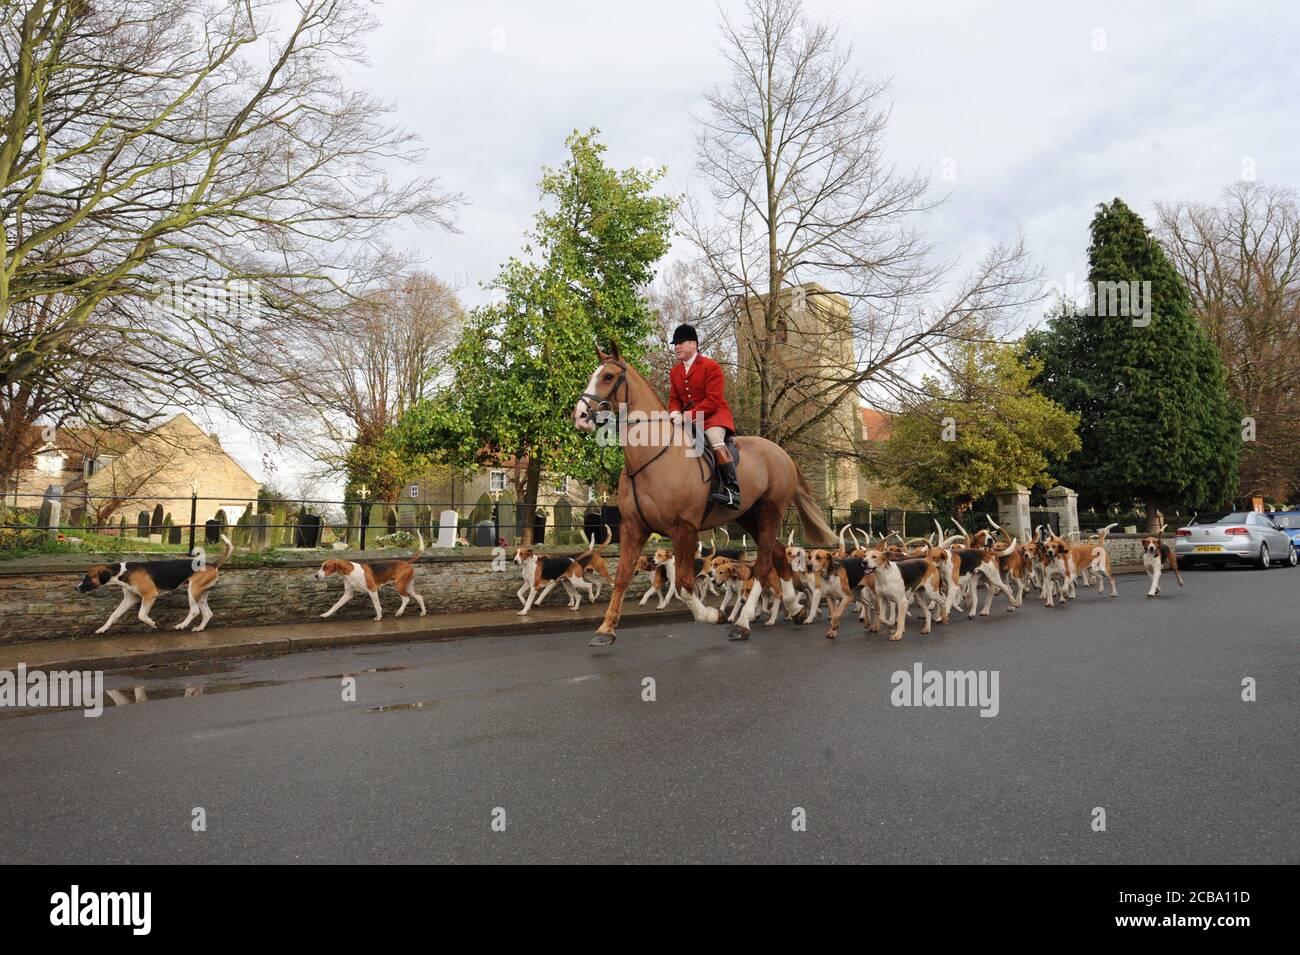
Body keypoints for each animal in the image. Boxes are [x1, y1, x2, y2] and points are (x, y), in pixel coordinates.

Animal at [569, 340, 832, 647]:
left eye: (608, 376)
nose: (580, 416)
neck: (651, 457)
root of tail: (781, 454)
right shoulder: (633, 527)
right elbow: (622, 577)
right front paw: (605, 629)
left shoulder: (684, 528)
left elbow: (684, 585)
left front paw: (713, 614)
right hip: (749, 517)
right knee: (778, 555)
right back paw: (794, 607)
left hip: (771, 511)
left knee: (764, 564)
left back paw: (742, 623)